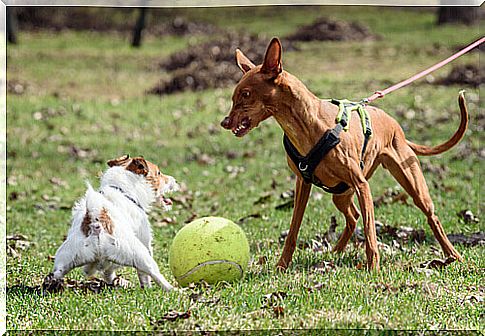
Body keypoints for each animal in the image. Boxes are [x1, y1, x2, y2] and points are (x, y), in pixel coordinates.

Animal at [50, 154, 178, 290]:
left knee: (56, 274)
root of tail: (97, 223)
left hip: (65, 259)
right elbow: (144, 276)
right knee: (155, 274)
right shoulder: (145, 240)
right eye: (158, 173)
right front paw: (147, 288)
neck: (123, 190)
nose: (175, 180)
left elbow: (109, 271)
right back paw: (174, 289)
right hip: (140, 255)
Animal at [221, 38, 466, 272]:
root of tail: (397, 127)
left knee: (431, 218)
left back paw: (453, 255)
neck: (306, 124)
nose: (224, 122)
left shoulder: (361, 185)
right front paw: (281, 266)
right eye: (234, 97)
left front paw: (373, 269)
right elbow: (292, 231)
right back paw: (336, 250)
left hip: (411, 185)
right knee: (353, 216)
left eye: (246, 94)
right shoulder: (303, 184)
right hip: (340, 193)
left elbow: (370, 233)